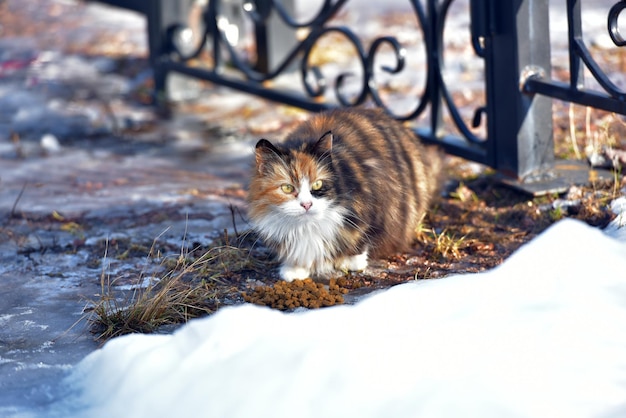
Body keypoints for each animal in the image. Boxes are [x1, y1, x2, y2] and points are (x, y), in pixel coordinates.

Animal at [246, 108, 442, 280]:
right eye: (287, 188)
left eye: (317, 184)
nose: (307, 204)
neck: (306, 227)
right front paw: (295, 269)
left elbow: (361, 239)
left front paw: (350, 262)